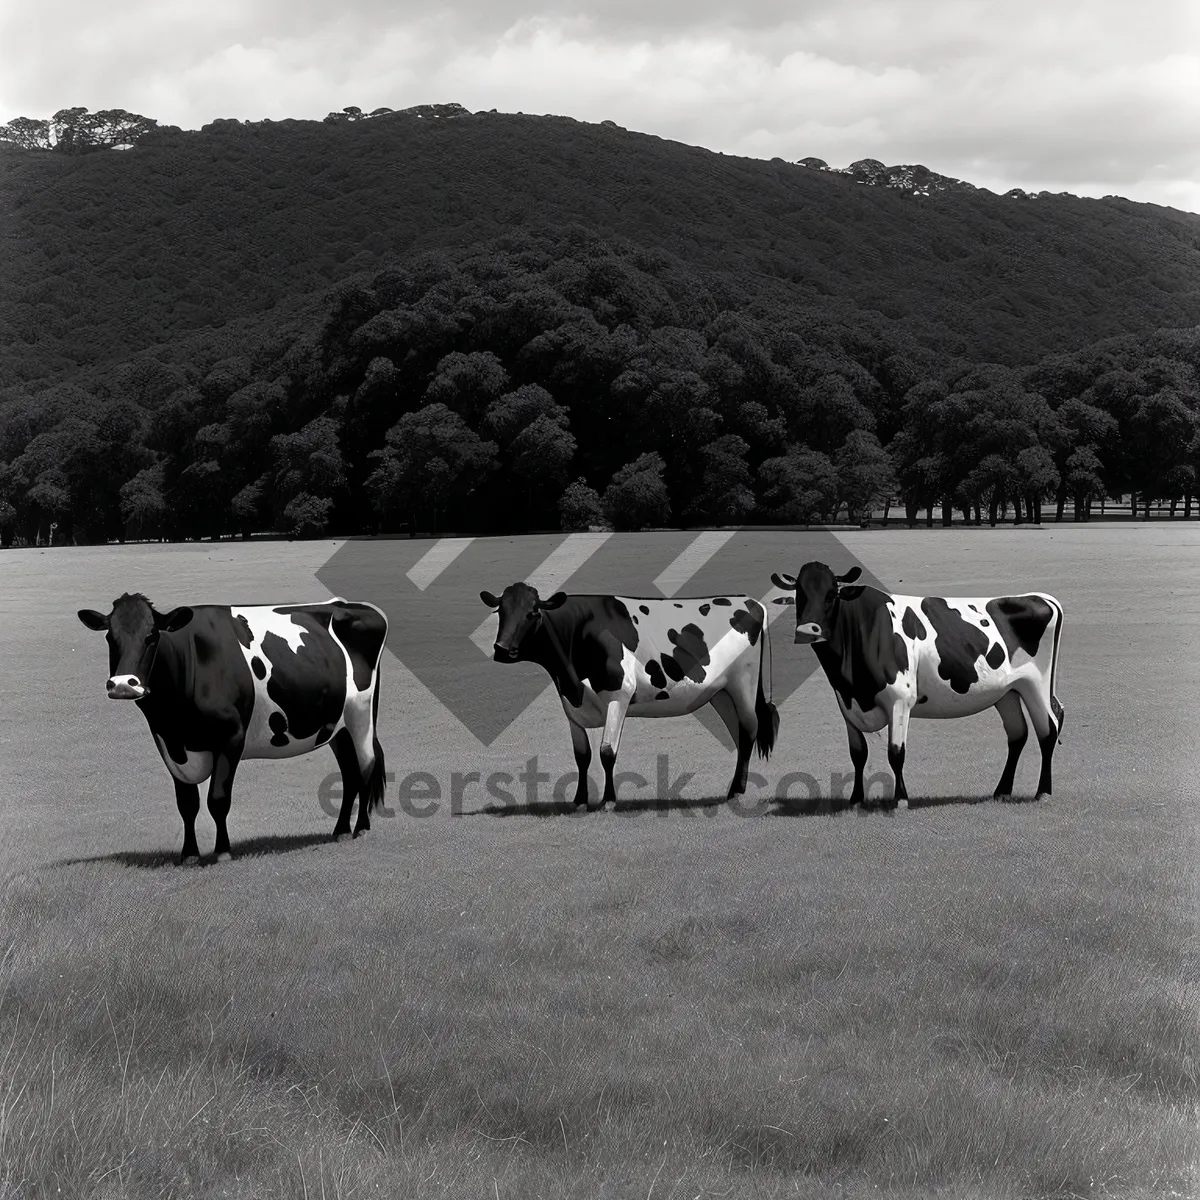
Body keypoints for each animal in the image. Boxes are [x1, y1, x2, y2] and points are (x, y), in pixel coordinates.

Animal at [78, 592, 388, 864]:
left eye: (152, 635)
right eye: (110, 636)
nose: (122, 684)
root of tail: (349, 604)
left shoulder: (231, 737)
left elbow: (217, 799)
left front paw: (223, 851)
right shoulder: (167, 743)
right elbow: (187, 803)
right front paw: (189, 855)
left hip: (361, 715)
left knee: (365, 766)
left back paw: (361, 828)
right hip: (337, 727)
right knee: (349, 773)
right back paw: (341, 831)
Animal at [477, 585, 777, 811]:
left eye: (533, 611)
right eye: (500, 610)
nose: (501, 649)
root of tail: (750, 601)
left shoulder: (618, 696)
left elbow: (607, 752)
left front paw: (608, 801)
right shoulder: (571, 706)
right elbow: (582, 756)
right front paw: (580, 800)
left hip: (743, 684)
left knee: (749, 730)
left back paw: (736, 792)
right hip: (720, 693)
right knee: (740, 735)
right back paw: (734, 789)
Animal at [772, 561, 1065, 806]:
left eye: (832, 595)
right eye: (800, 595)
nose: (807, 631)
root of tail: (1039, 597)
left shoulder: (899, 700)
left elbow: (895, 753)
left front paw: (900, 799)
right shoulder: (846, 705)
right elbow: (858, 754)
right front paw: (856, 799)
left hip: (1035, 684)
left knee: (1048, 729)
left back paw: (1043, 792)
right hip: (1007, 692)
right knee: (1017, 734)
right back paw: (1001, 791)